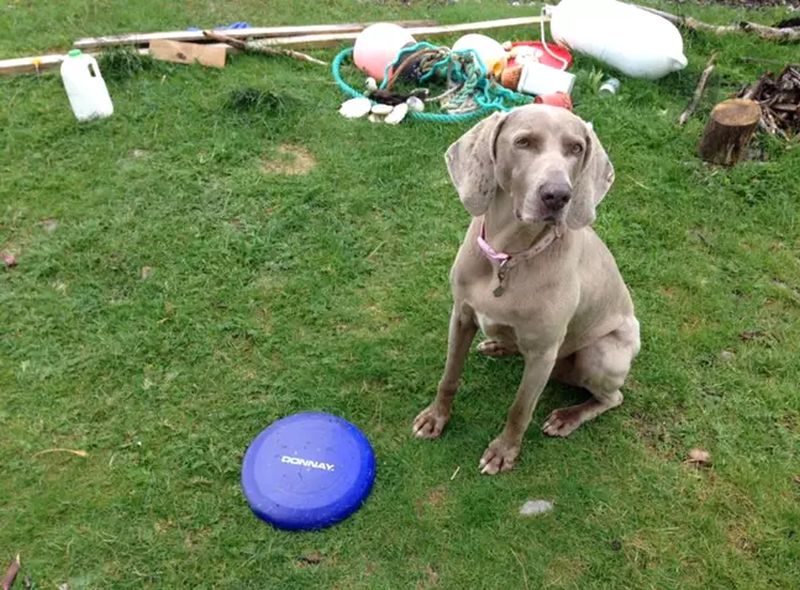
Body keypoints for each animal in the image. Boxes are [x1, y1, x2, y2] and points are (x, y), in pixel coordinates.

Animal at [416, 105, 640, 476]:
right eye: (523, 142)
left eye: (576, 148)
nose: (558, 195)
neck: (508, 257)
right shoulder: (460, 316)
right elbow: (449, 376)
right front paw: (436, 417)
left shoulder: (544, 352)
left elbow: (520, 408)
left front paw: (503, 452)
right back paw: (498, 345)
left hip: (601, 354)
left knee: (613, 397)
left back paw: (567, 417)